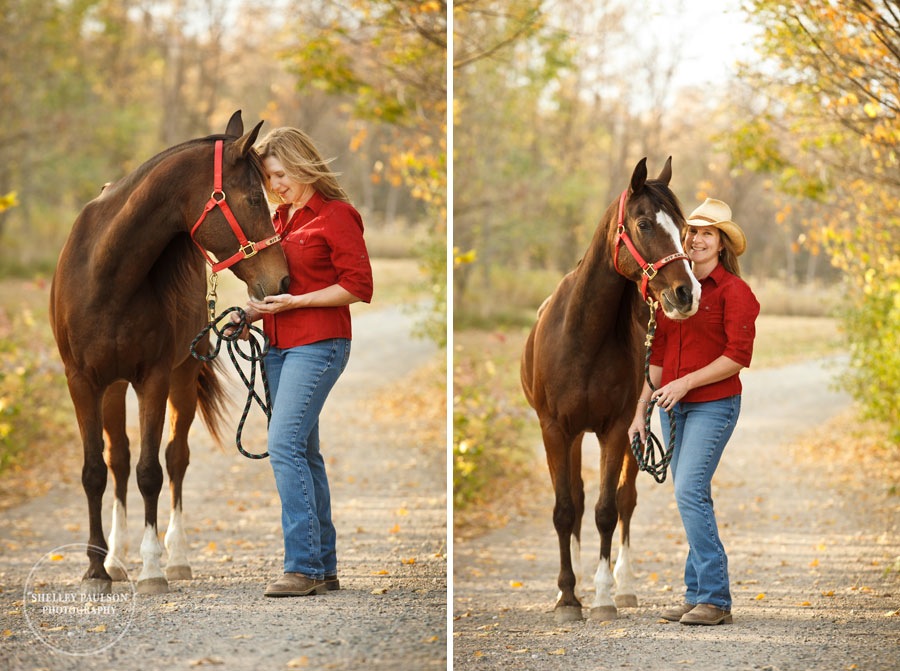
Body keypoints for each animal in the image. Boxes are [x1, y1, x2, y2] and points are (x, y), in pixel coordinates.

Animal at [50, 113, 288, 596]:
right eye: (255, 198)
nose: (282, 280)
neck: (106, 274)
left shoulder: (155, 380)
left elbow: (151, 471)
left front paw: (153, 569)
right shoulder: (82, 381)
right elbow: (95, 471)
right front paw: (95, 570)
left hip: (180, 380)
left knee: (175, 459)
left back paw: (175, 557)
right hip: (112, 388)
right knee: (117, 461)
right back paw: (115, 559)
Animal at [520, 158, 696, 624]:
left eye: (684, 227)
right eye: (644, 223)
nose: (686, 293)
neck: (583, 336)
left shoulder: (616, 430)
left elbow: (607, 510)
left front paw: (601, 597)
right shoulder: (555, 430)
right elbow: (566, 510)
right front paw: (567, 596)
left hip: (636, 433)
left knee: (625, 500)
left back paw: (625, 586)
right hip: (574, 435)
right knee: (578, 501)